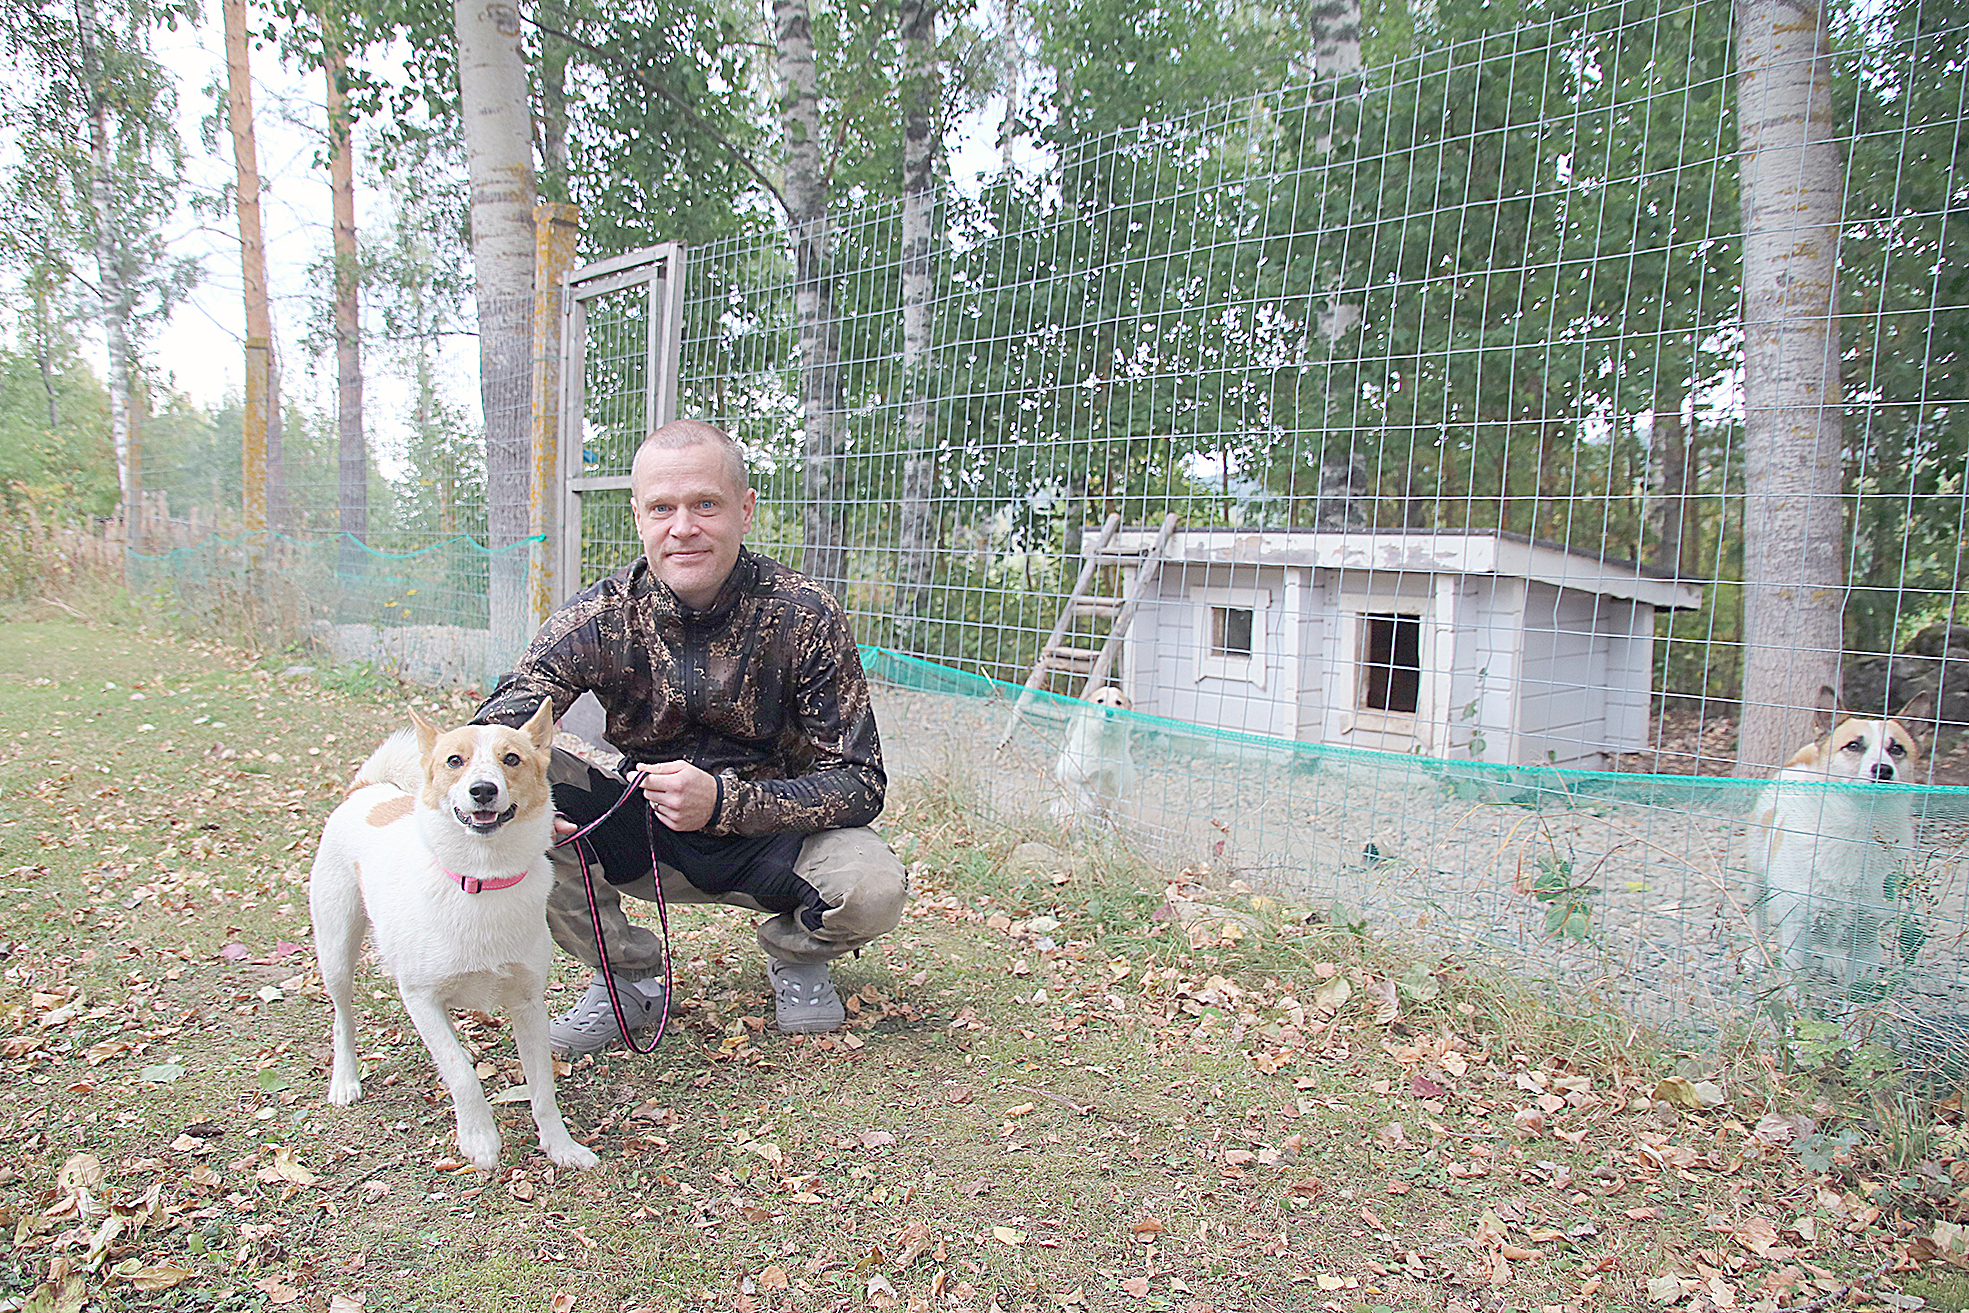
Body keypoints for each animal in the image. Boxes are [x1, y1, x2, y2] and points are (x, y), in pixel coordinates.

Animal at [307, 704, 594, 1173]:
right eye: (454, 761)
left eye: (511, 759)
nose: (482, 790)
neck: (482, 879)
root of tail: (366, 791)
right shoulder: (420, 999)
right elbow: (461, 1072)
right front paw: (479, 1139)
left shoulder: (529, 1004)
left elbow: (543, 1088)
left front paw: (560, 1146)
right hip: (336, 951)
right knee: (342, 1018)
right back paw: (345, 1079)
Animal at [1055, 685, 1134, 826]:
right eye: (1100, 700)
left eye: (1118, 702)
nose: (1109, 712)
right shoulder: (1071, 777)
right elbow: (1086, 801)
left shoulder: (1116, 789)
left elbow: (1112, 813)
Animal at [1748, 692, 1929, 992]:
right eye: (1853, 745)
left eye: (1897, 749)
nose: (1883, 770)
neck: (1858, 829)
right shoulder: (1797, 926)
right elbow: (1794, 983)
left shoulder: (1867, 935)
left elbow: (1859, 990)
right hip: (1756, 880)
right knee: (1756, 919)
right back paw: (1754, 956)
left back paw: (1833, 960)